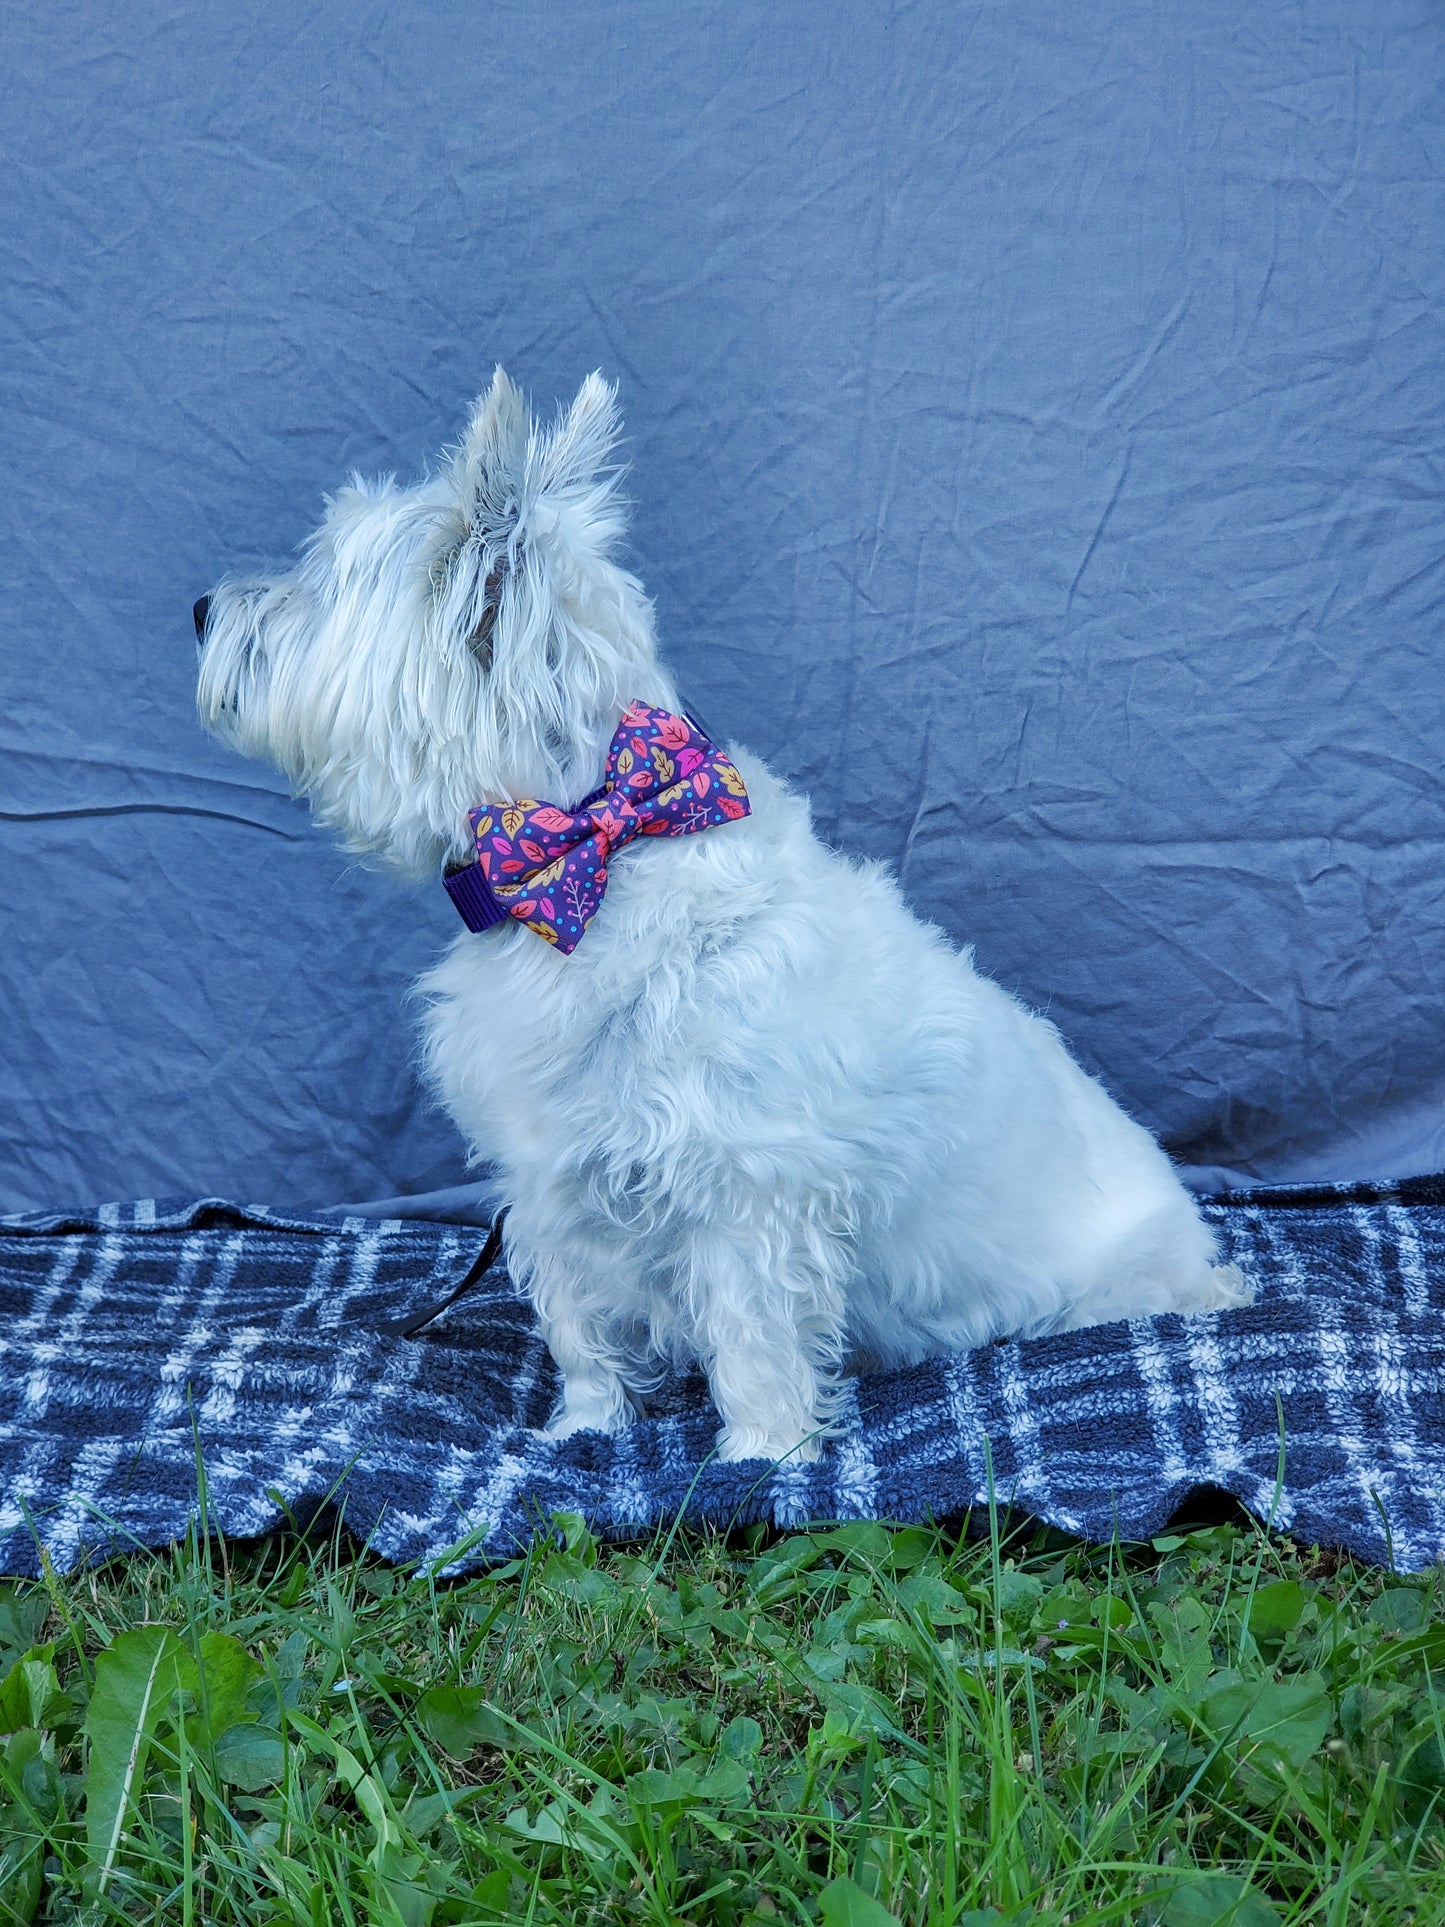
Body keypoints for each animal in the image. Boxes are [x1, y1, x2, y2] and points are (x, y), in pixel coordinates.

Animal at [198, 371, 1248, 1456]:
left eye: (321, 578)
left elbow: (752, 1338)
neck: (592, 852)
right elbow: (578, 1326)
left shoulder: (749, 1191)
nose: (198, 608)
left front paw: (763, 1455)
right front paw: (584, 1430)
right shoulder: (552, 1180)